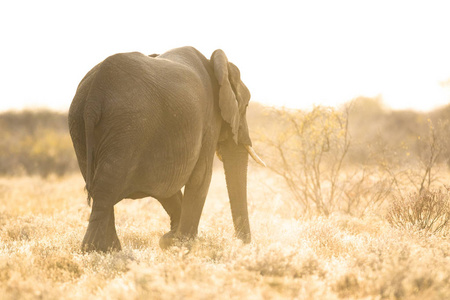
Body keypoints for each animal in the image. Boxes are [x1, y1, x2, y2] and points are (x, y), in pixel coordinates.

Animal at [67, 45, 264, 252]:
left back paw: (108, 250)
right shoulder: (209, 120)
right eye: (246, 105)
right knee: (107, 187)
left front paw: (170, 240)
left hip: (80, 124)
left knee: (99, 186)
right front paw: (183, 244)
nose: (241, 244)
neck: (217, 65)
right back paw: (97, 250)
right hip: (127, 126)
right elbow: (201, 176)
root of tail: (94, 96)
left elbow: (166, 185)